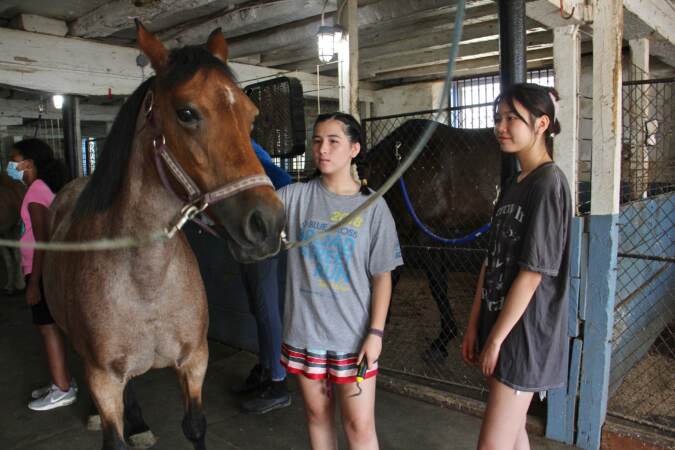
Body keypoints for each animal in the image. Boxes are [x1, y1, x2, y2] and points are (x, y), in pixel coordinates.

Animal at [42, 23, 285, 450]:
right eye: (186, 113)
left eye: (250, 114)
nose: (267, 224)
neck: (147, 281)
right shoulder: (104, 378)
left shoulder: (194, 361)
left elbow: (195, 426)